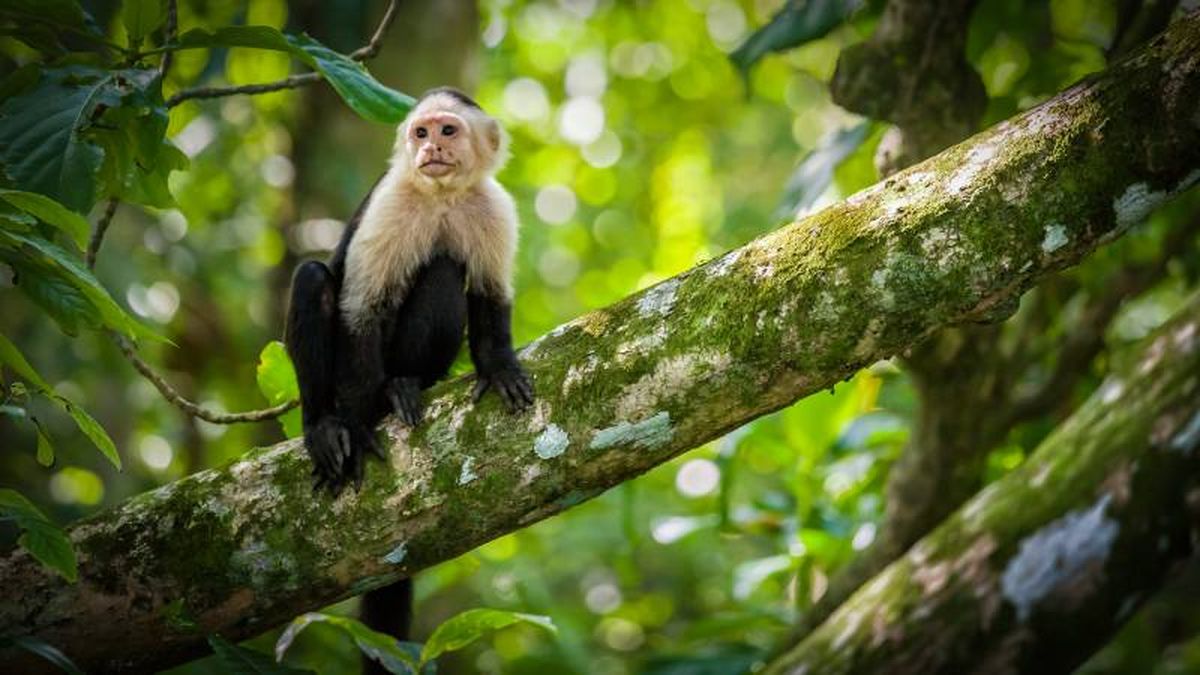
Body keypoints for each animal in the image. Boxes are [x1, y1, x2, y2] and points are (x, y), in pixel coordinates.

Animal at [283, 88, 534, 669]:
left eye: (447, 131)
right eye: (420, 132)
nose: (429, 150)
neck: (441, 195)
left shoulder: (492, 207)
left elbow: (489, 295)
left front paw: (498, 366)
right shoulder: (392, 200)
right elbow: (360, 311)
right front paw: (353, 426)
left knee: (444, 269)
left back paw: (403, 384)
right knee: (315, 279)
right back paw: (327, 423)